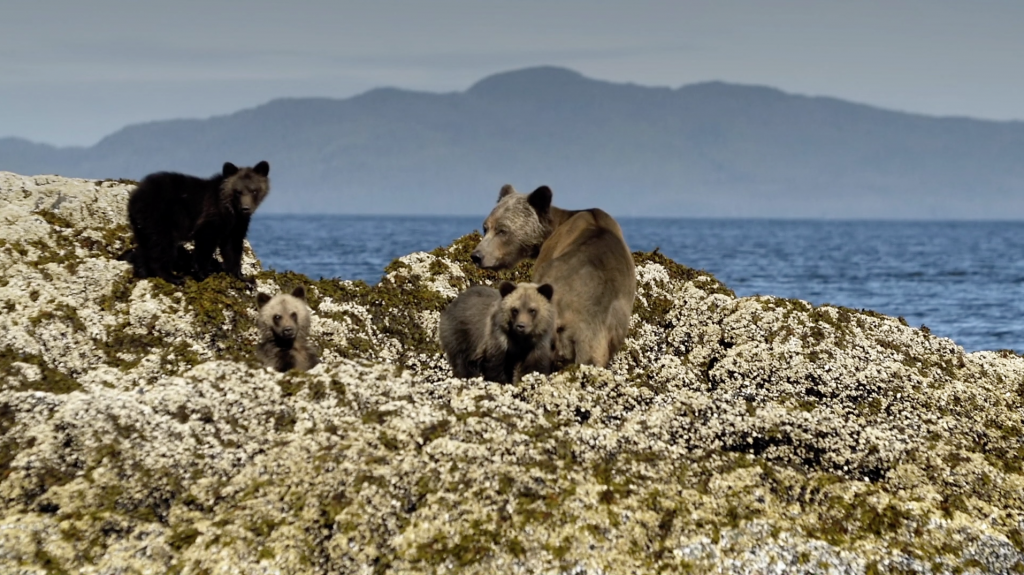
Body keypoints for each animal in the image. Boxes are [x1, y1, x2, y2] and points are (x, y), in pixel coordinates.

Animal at [125, 159, 270, 282]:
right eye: (238, 191)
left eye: (253, 190)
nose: (246, 208)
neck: (230, 210)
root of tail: (134, 196)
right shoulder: (212, 213)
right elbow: (206, 240)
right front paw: (202, 273)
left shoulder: (237, 223)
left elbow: (232, 246)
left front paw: (243, 277)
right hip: (159, 216)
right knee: (163, 244)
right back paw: (173, 277)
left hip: (143, 223)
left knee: (146, 245)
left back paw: (143, 272)